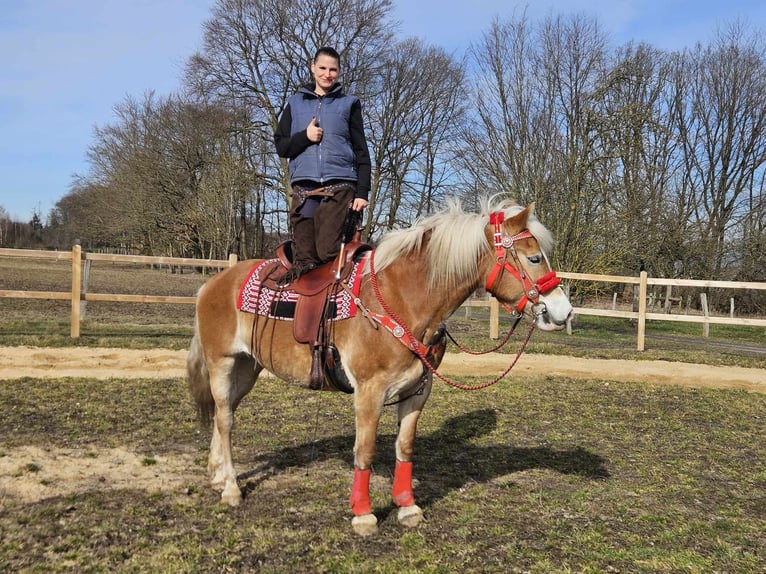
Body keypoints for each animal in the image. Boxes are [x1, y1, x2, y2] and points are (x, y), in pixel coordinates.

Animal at [186, 197, 572, 536]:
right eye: (534, 257)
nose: (563, 312)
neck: (404, 300)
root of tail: (211, 284)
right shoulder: (369, 392)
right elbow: (365, 451)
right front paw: (363, 515)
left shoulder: (418, 391)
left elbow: (405, 447)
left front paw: (407, 507)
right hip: (222, 363)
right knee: (226, 419)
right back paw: (231, 487)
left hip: (247, 367)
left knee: (223, 414)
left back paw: (217, 475)